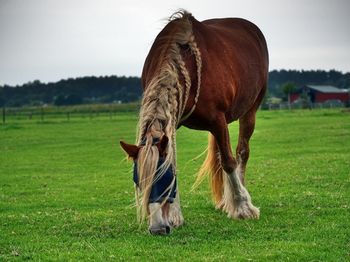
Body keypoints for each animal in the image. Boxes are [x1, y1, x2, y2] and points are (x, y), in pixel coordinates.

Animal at [119, 10, 268, 235]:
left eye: (162, 179)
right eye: (138, 181)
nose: (157, 228)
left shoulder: (218, 120)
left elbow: (229, 162)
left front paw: (243, 207)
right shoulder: (174, 123)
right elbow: (174, 163)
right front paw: (175, 216)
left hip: (250, 109)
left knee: (241, 152)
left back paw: (239, 198)